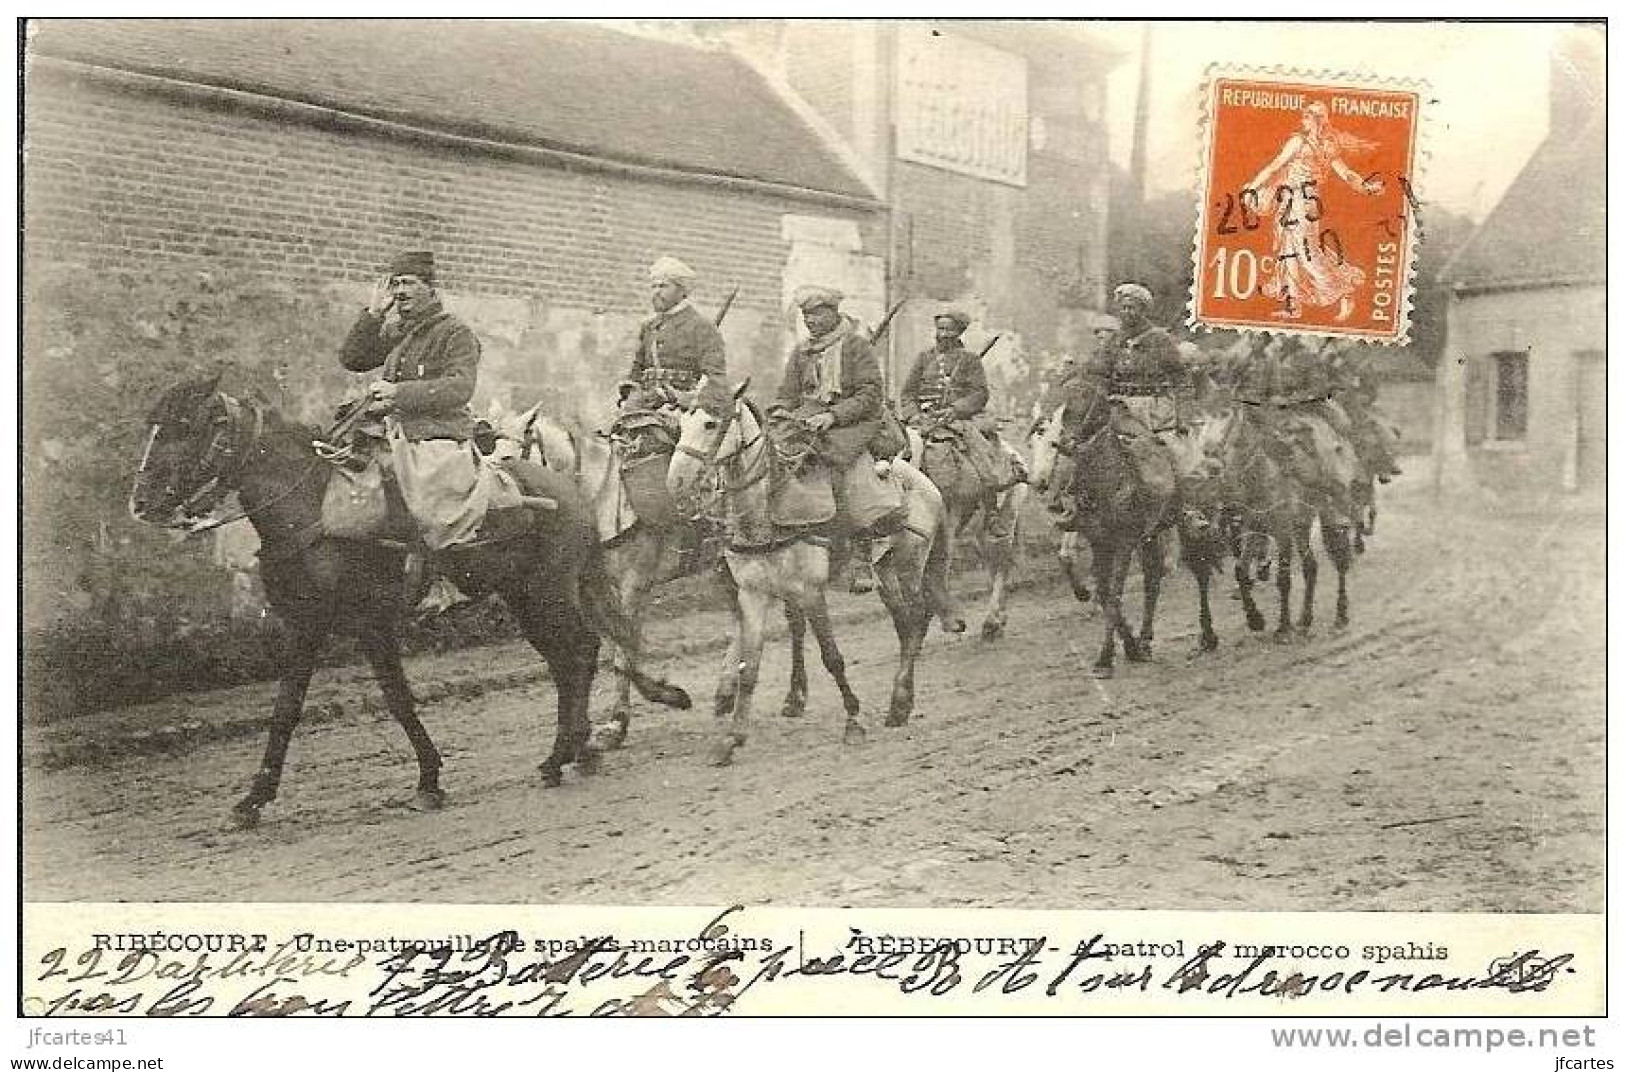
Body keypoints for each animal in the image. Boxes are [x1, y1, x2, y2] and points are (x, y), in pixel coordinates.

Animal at [126, 376, 685, 828]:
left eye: (184, 427)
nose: (141, 501)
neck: (315, 511)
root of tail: (570, 490)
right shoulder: (310, 626)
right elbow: (298, 708)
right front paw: (255, 798)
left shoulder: (360, 625)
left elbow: (384, 701)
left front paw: (427, 780)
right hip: (525, 600)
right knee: (569, 660)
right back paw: (576, 750)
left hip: (546, 593)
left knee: (582, 652)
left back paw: (566, 753)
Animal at [666, 381, 955, 766]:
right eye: (680, 424)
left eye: (711, 424)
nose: (677, 483)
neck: (768, 510)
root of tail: (925, 482)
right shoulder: (753, 594)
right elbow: (749, 668)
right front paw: (732, 738)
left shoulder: (811, 590)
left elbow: (832, 657)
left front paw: (853, 721)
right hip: (886, 570)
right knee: (906, 623)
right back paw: (901, 702)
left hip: (910, 562)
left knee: (919, 617)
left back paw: (899, 702)